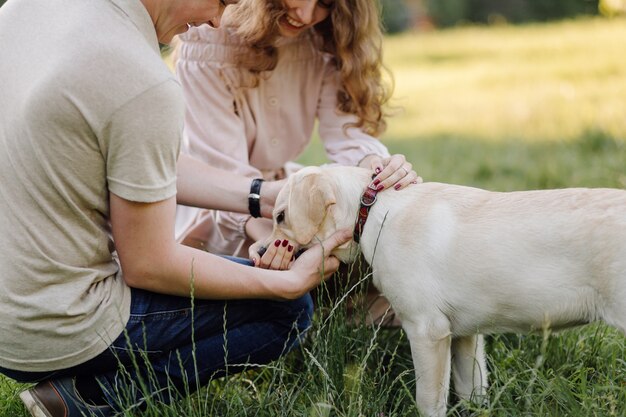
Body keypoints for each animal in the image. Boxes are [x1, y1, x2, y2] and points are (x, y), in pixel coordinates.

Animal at [264, 164, 624, 414]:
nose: (260, 251)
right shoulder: (466, 336)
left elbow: (430, 401)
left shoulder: (427, 330)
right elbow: (472, 392)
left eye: (280, 217)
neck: (372, 210)